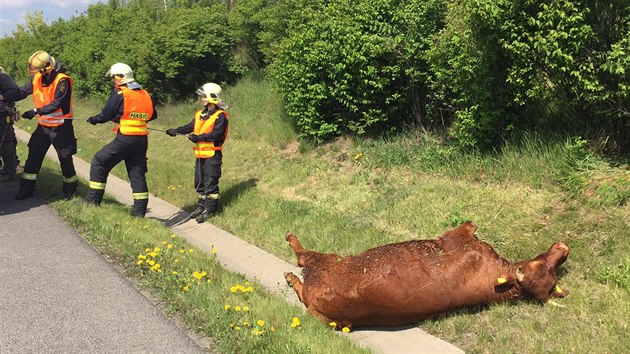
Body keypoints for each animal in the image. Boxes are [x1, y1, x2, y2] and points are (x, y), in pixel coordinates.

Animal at [284, 221, 572, 330]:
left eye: (527, 269)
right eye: (540, 265)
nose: (564, 248)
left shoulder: (457, 238)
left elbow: (468, 225)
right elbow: (471, 225)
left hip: (328, 263)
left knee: (303, 262)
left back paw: (290, 267)